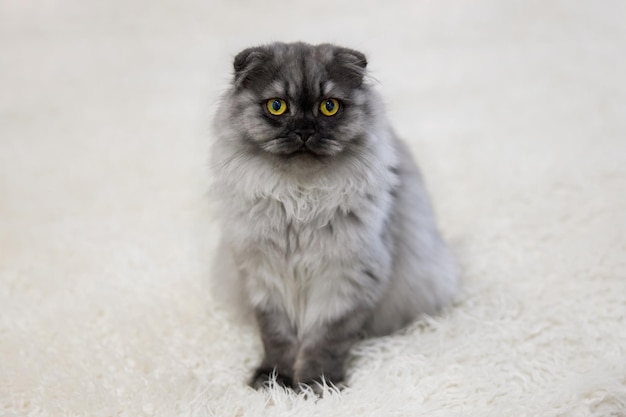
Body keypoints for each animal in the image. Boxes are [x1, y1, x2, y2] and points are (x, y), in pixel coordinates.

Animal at [207, 42, 456, 390]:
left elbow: (326, 340)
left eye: (329, 107)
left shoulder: (345, 280)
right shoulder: (267, 280)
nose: (304, 131)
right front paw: (275, 380)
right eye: (277, 106)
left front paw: (317, 384)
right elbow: (277, 339)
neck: (300, 199)